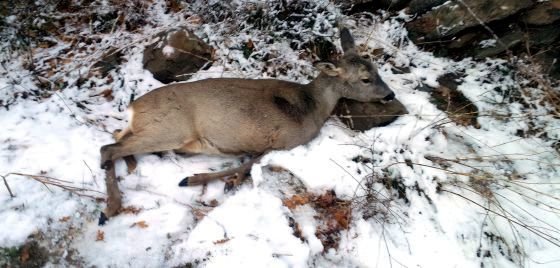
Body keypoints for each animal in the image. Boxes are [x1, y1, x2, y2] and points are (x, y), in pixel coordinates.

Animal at [100, 28, 396, 223]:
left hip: (150, 129)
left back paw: (129, 167)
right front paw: (201, 179)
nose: (390, 94)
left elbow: (249, 162)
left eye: (377, 70)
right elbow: (251, 162)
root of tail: (133, 108)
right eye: (366, 78)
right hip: (170, 128)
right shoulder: (284, 139)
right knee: (108, 148)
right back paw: (110, 207)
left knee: (115, 138)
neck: (311, 106)